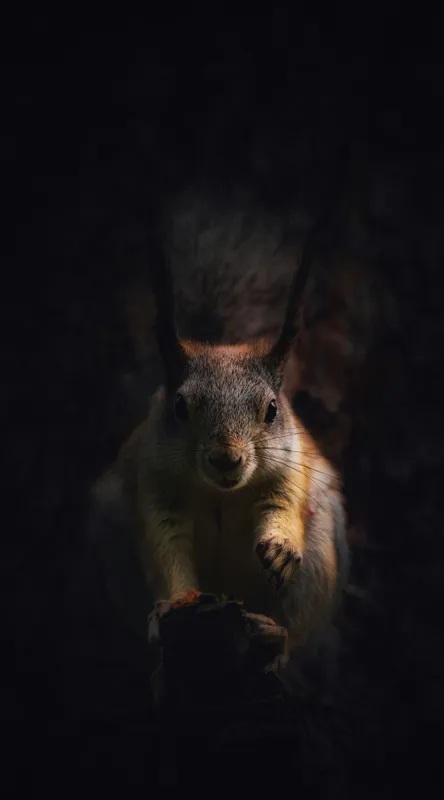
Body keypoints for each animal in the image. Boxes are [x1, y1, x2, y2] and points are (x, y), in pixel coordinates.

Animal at [92, 227, 349, 663]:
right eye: (179, 406)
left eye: (272, 409)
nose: (227, 459)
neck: (221, 492)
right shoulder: (155, 482)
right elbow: (166, 546)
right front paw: (175, 601)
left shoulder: (290, 470)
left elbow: (282, 506)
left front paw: (281, 547)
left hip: (316, 567)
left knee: (291, 628)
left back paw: (271, 633)